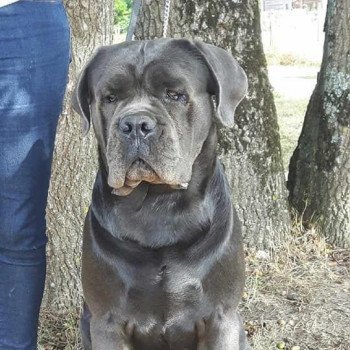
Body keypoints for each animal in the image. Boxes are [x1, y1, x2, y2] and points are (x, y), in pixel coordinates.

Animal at [72, 38, 249, 350]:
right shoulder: (106, 320)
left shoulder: (222, 317)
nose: (135, 125)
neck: (157, 205)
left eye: (175, 94)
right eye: (110, 98)